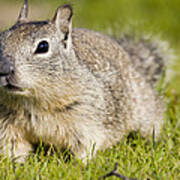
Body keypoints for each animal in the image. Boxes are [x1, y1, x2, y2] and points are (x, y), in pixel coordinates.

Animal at [0, 0, 172, 163]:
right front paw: (15, 165)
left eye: (43, 46)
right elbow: (12, 147)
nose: (4, 68)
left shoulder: (86, 122)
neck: (30, 101)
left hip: (144, 108)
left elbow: (85, 147)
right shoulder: (6, 126)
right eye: (0, 39)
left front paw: (78, 166)